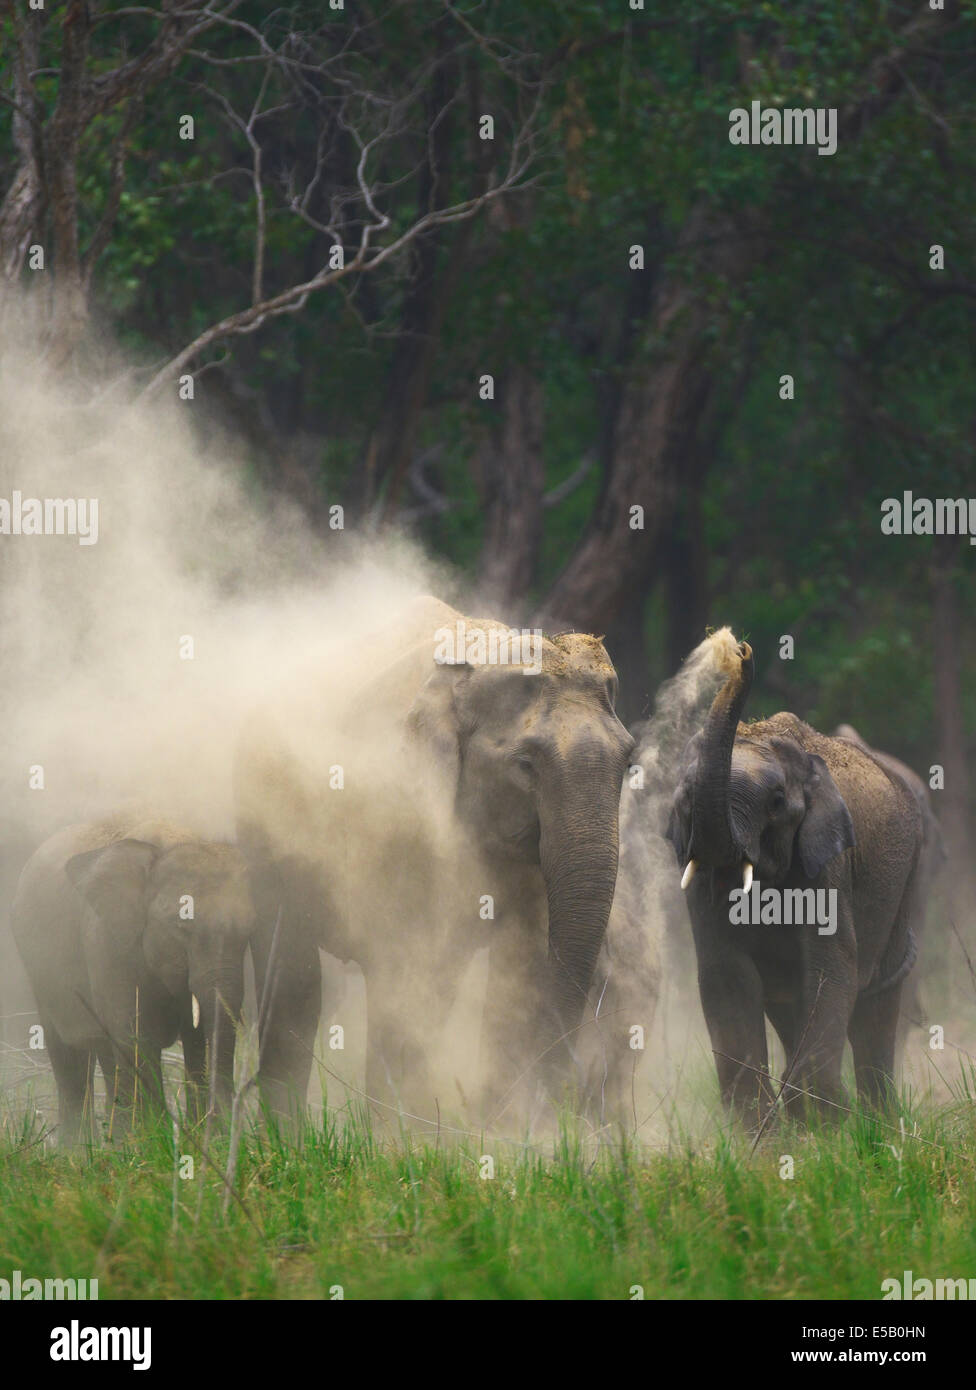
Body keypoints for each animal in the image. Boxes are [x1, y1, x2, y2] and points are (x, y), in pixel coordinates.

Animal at [11, 814, 255, 1142]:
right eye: (181, 927)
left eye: (249, 932)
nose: (227, 1128)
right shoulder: (107, 941)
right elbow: (136, 1037)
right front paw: (149, 1144)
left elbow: (195, 1040)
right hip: (40, 973)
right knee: (71, 1057)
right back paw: (84, 1149)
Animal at [233, 595, 635, 1125]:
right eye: (525, 764)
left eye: (629, 762)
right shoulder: (399, 814)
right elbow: (410, 967)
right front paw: (398, 1137)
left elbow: (519, 962)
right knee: (293, 975)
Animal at [666, 641, 924, 1127]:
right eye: (684, 799)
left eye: (776, 802)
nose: (740, 650)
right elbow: (728, 973)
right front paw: (765, 1137)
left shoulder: (829, 863)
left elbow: (831, 967)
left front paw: (828, 1129)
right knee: (789, 1007)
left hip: (909, 877)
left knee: (876, 1004)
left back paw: (878, 1127)